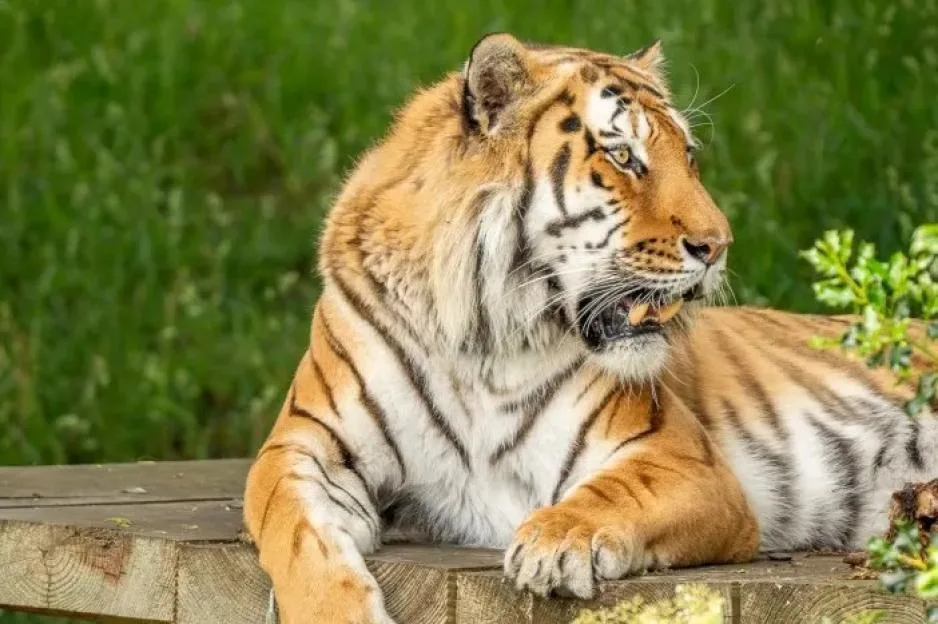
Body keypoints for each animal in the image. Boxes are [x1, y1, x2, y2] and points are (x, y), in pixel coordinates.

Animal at [242, 33, 938, 623]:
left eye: (688, 156)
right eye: (623, 156)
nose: (718, 246)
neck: (481, 341)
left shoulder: (680, 456)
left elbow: (613, 493)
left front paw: (556, 542)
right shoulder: (305, 447)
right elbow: (294, 533)